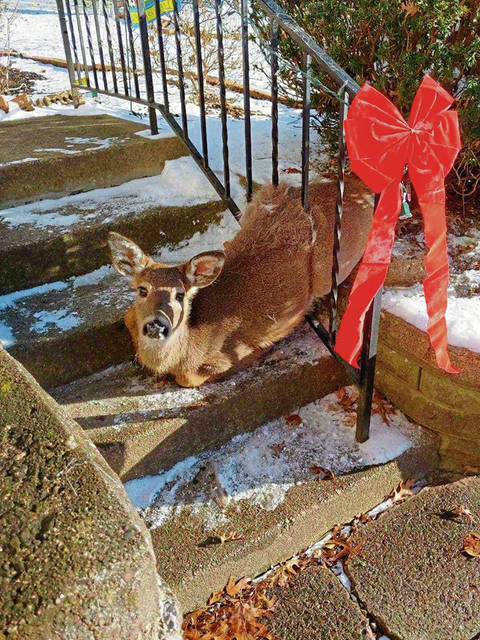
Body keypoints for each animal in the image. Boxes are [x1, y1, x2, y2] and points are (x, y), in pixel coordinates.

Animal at [108, 177, 373, 388]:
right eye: (142, 290)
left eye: (180, 295)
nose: (156, 325)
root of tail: (360, 189)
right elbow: (128, 318)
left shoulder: (227, 353)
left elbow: (188, 378)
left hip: (333, 267)